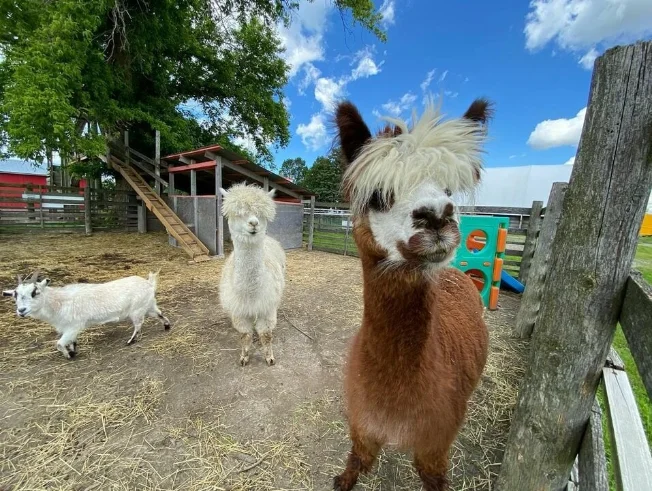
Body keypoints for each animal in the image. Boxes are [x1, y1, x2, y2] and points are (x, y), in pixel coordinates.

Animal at [2, 270, 171, 359]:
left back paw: (131, 341)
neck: (58, 302)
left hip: (136, 310)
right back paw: (167, 325)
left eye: (35, 292)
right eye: (15, 295)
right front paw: (72, 350)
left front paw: (69, 355)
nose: (21, 310)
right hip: (148, 305)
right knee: (159, 314)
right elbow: (71, 341)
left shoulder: (73, 326)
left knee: (138, 324)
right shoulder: (68, 328)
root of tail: (149, 283)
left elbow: (59, 343)